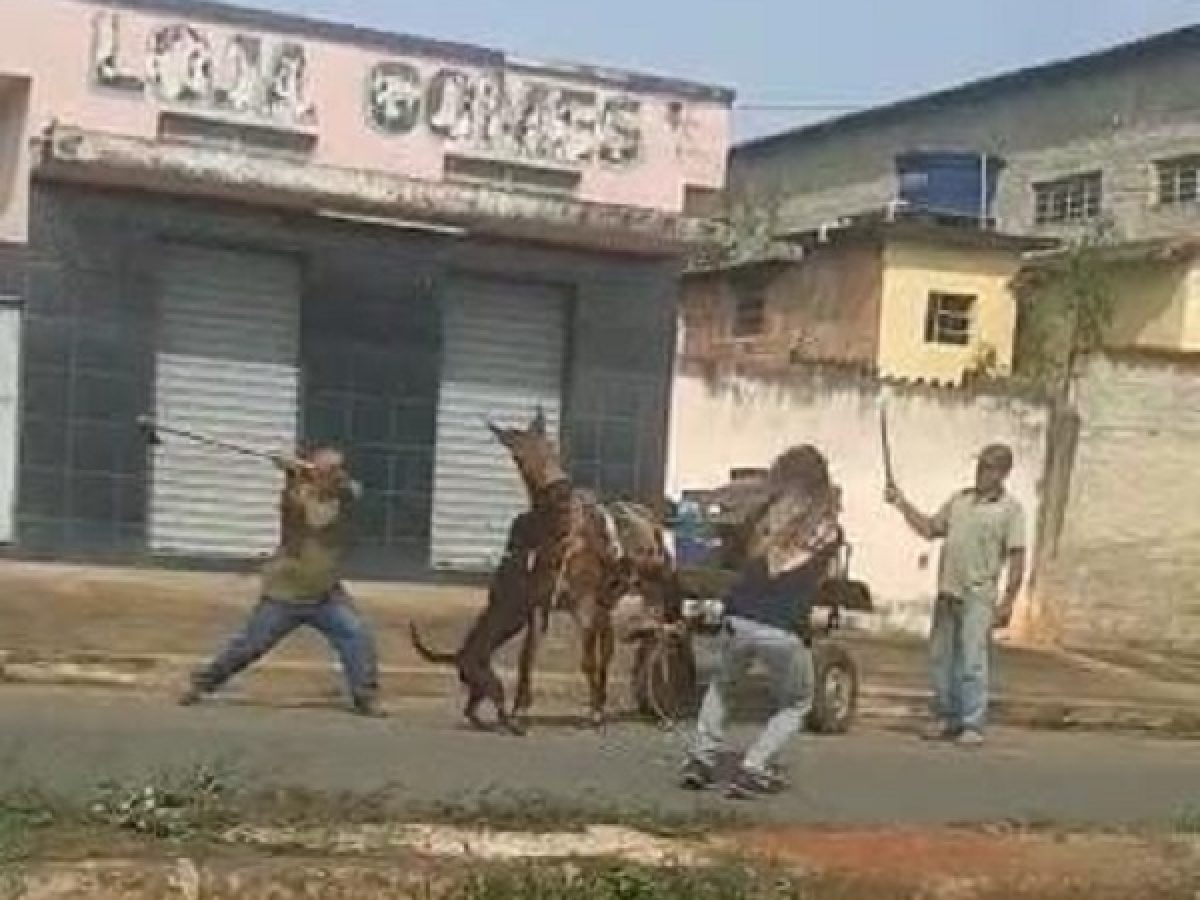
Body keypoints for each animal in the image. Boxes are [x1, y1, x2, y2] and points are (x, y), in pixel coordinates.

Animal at [410, 408, 676, 734]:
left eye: (551, 446)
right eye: (518, 457)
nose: (561, 493)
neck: (560, 537)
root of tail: (649, 518)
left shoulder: (583, 605)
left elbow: (587, 661)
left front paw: (594, 716)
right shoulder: (539, 605)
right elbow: (528, 658)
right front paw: (519, 713)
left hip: (649, 592)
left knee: (653, 644)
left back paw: (654, 709)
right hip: (607, 603)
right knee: (611, 648)